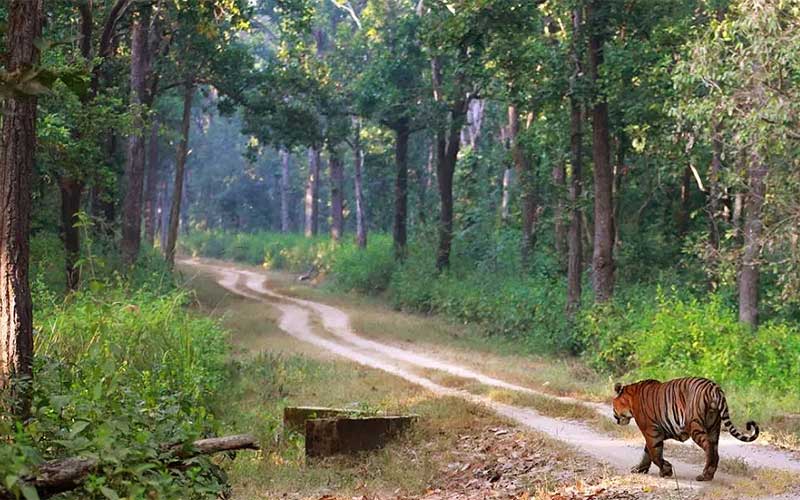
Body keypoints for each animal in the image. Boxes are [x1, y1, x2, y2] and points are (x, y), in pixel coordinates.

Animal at [612, 377, 759, 481]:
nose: (615, 417)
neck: (630, 400)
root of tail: (714, 387)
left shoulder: (651, 432)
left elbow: (654, 454)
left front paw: (666, 470)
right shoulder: (657, 432)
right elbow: (647, 453)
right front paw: (639, 469)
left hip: (695, 426)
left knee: (709, 448)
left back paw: (704, 475)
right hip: (714, 427)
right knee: (715, 451)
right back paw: (710, 474)